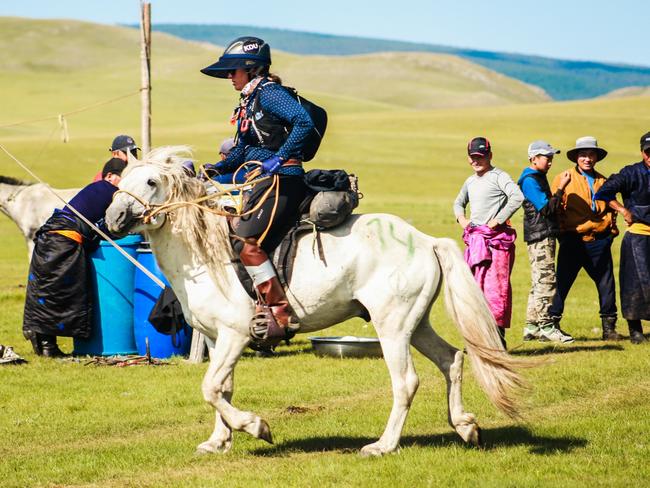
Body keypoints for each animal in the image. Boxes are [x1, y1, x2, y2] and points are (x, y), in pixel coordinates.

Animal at [105, 146, 528, 458]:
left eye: (151, 181)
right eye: (122, 180)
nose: (113, 216)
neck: (205, 254)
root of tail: (425, 240)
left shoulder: (235, 334)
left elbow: (210, 387)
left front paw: (257, 427)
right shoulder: (214, 337)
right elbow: (222, 388)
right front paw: (218, 441)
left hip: (392, 326)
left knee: (406, 381)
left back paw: (383, 445)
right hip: (416, 323)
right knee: (451, 360)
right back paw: (466, 427)